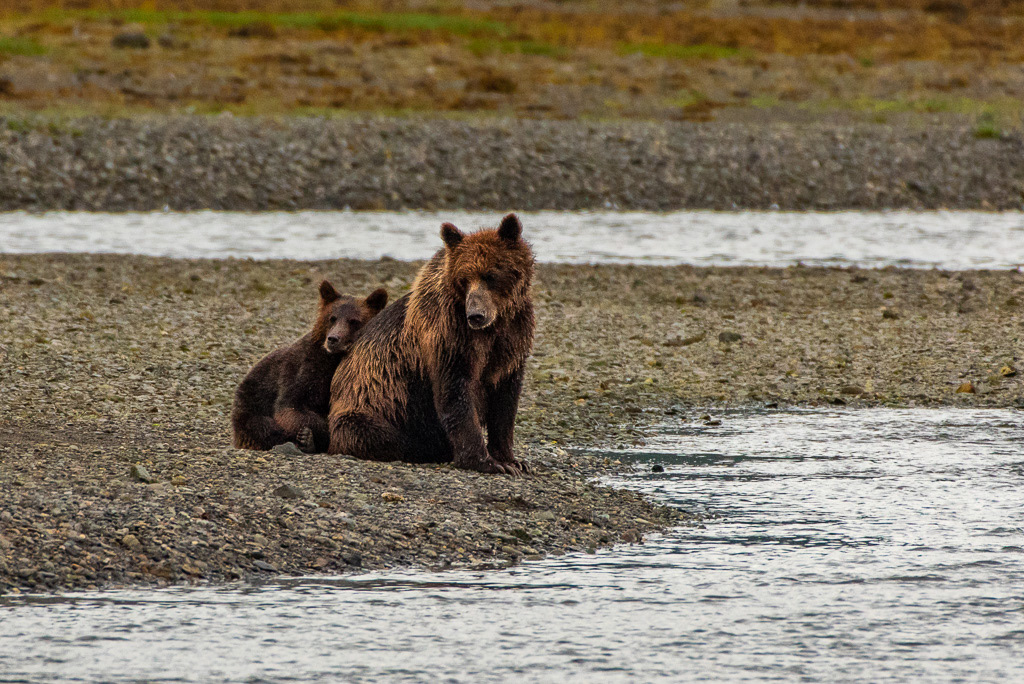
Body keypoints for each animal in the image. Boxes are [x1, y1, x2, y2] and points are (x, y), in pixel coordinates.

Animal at [232, 281, 388, 453]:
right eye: (332, 318)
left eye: (354, 321)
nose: (333, 339)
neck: (334, 359)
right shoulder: (305, 369)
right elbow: (291, 406)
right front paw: (311, 435)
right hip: (250, 405)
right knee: (263, 426)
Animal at [327, 213, 535, 475]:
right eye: (464, 279)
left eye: (491, 275)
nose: (475, 315)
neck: (493, 326)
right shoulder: (448, 333)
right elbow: (456, 391)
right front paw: (485, 461)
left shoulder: (513, 339)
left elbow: (505, 401)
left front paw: (512, 460)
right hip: (371, 408)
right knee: (377, 434)